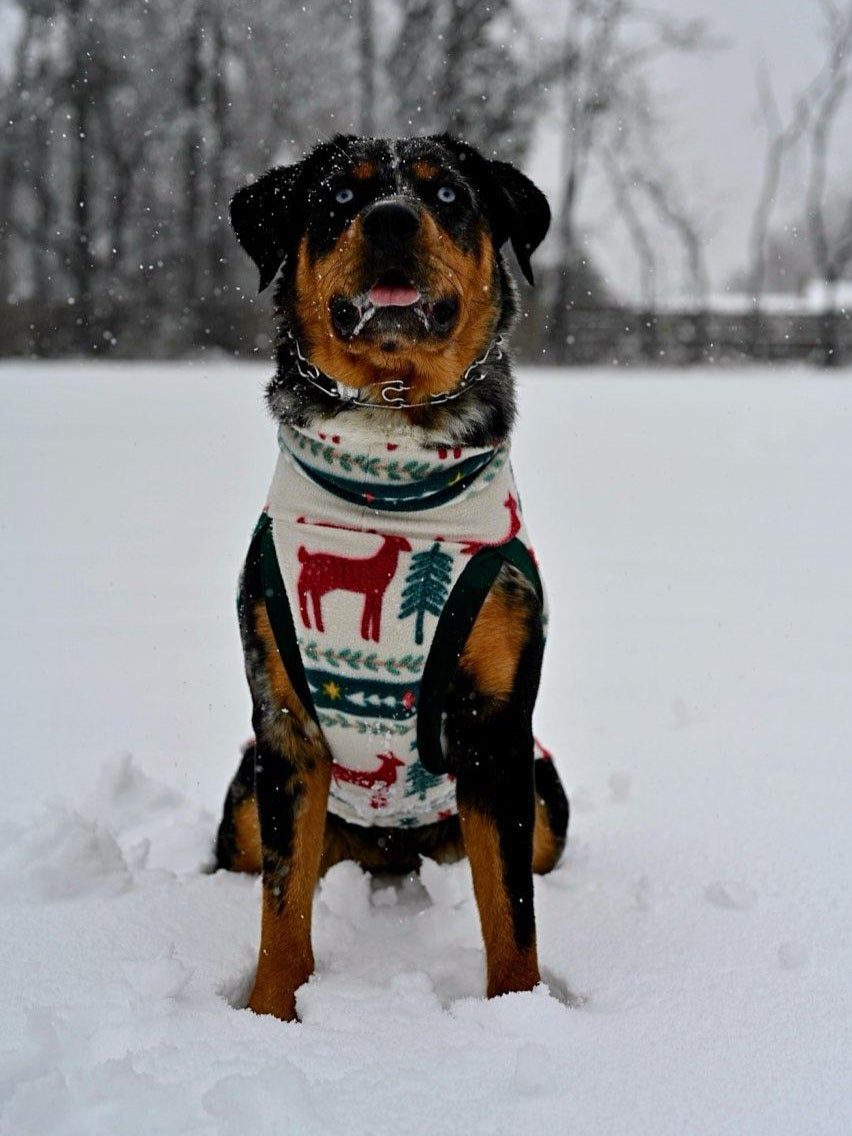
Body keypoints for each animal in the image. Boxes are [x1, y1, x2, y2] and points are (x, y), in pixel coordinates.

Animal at [216, 132, 570, 1022]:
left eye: (446, 196)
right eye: (341, 197)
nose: (390, 219)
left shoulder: (498, 732)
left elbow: (512, 914)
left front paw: (520, 1014)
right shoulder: (284, 724)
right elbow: (281, 910)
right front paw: (269, 1016)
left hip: (546, 794)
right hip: (243, 798)